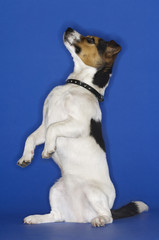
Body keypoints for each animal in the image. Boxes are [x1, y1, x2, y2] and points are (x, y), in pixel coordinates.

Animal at [17, 27, 148, 227]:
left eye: (91, 40)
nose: (69, 28)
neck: (79, 85)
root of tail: (79, 218)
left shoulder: (77, 126)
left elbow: (53, 129)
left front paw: (48, 149)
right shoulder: (43, 124)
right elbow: (31, 137)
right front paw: (26, 157)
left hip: (93, 193)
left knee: (109, 217)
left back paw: (100, 220)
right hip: (55, 190)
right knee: (56, 216)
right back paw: (36, 218)